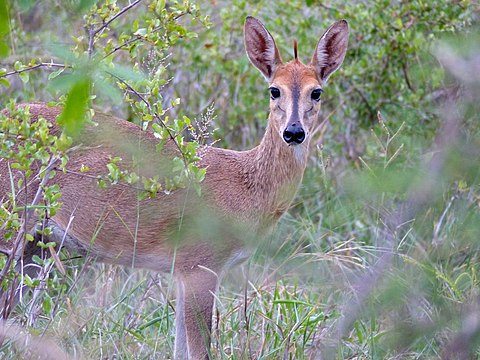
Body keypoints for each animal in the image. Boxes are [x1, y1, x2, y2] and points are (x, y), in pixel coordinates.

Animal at [0, 16, 346, 360]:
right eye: (274, 90)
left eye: (316, 92)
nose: (294, 132)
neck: (246, 187)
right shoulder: (200, 264)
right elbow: (200, 351)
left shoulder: (183, 271)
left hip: (34, 246)